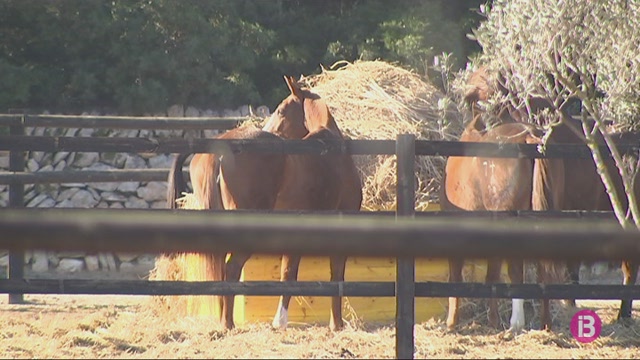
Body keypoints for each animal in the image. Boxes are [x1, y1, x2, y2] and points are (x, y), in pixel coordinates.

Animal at [168, 76, 362, 332]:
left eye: (280, 111)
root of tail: (220, 150)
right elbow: (332, 275)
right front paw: (333, 324)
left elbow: (289, 273)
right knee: (231, 268)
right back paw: (228, 323)